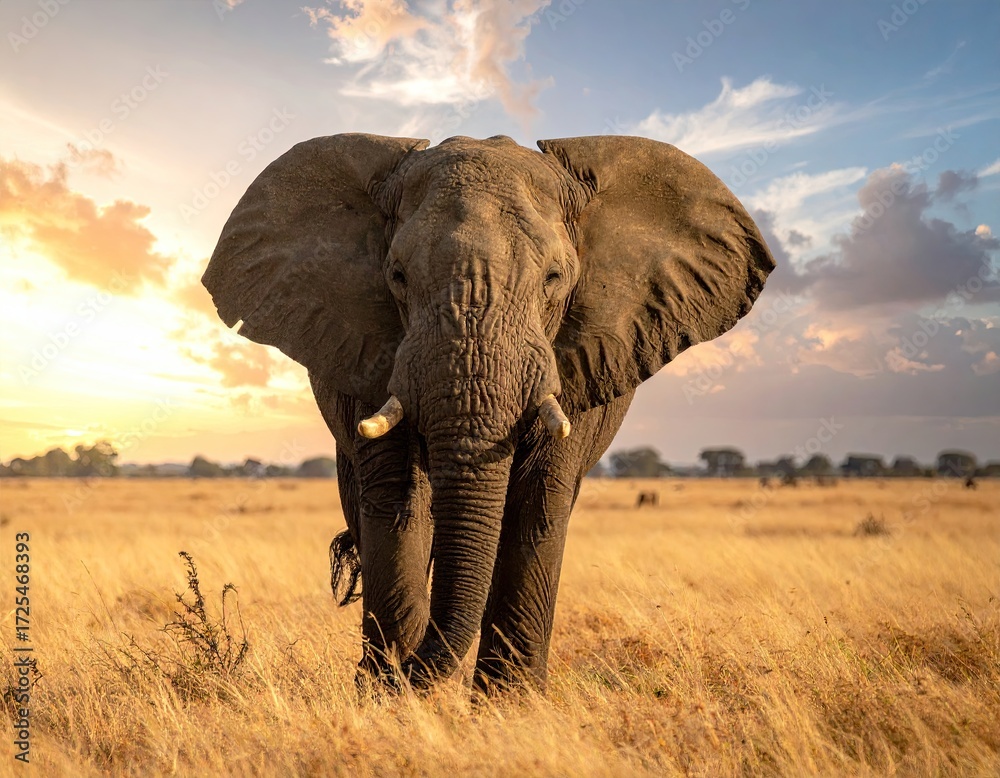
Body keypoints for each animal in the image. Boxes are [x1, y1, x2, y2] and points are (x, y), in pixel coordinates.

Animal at [202, 133, 774, 695]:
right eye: (397, 275)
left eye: (554, 277)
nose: (410, 676)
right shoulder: (369, 352)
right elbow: (397, 498)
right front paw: (392, 695)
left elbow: (540, 498)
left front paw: (508, 701)